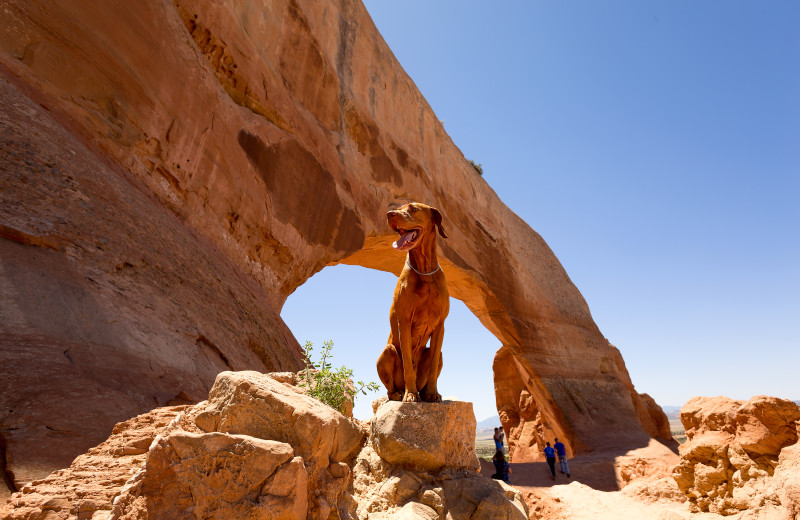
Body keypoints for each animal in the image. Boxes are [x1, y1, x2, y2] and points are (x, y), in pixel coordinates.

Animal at [376, 202, 446, 402]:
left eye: (413, 208)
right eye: (399, 208)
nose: (389, 214)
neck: (425, 272)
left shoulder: (440, 325)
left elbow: (432, 367)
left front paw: (432, 393)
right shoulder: (405, 322)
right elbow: (407, 363)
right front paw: (411, 394)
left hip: (437, 354)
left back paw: (425, 393)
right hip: (387, 351)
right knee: (390, 388)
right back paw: (400, 393)